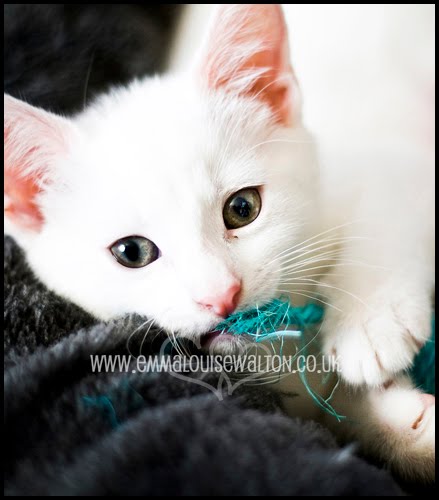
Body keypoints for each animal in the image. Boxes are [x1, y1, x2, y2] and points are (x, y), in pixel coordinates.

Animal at [4, 4, 435, 481]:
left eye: (243, 208)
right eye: (132, 252)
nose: (221, 294)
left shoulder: (395, 164)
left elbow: (387, 211)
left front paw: (369, 324)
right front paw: (403, 424)